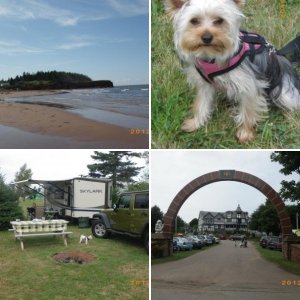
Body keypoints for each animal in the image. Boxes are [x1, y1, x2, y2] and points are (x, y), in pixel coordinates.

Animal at [165, 0, 298, 143]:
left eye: (219, 20)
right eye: (194, 21)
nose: (207, 37)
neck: (213, 57)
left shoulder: (249, 84)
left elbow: (248, 110)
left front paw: (245, 133)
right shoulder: (205, 84)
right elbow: (202, 103)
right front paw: (195, 123)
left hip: (284, 91)